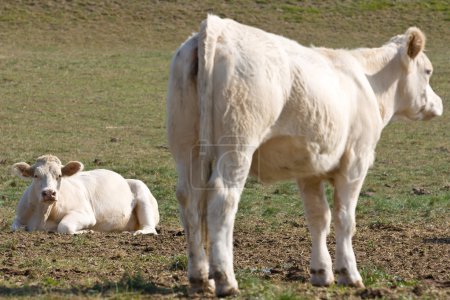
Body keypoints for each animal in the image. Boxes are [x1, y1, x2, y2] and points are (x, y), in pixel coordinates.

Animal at [11, 156, 159, 236]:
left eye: (59, 175)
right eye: (36, 175)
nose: (49, 193)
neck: (43, 214)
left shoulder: (86, 214)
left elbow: (64, 227)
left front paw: (86, 231)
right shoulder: (19, 217)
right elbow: (16, 228)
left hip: (142, 192)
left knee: (149, 228)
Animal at [166, 15, 442, 296]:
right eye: (428, 71)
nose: (439, 104)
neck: (369, 84)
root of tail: (219, 27)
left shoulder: (309, 169)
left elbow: (319, 218)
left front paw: (321, 272)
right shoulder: (356, 161)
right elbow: (345, 218)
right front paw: (349, 273)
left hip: (186, 145)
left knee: (189, 200)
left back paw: (200, 278)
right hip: (237, 145)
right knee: (222, 200)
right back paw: (225, 279)